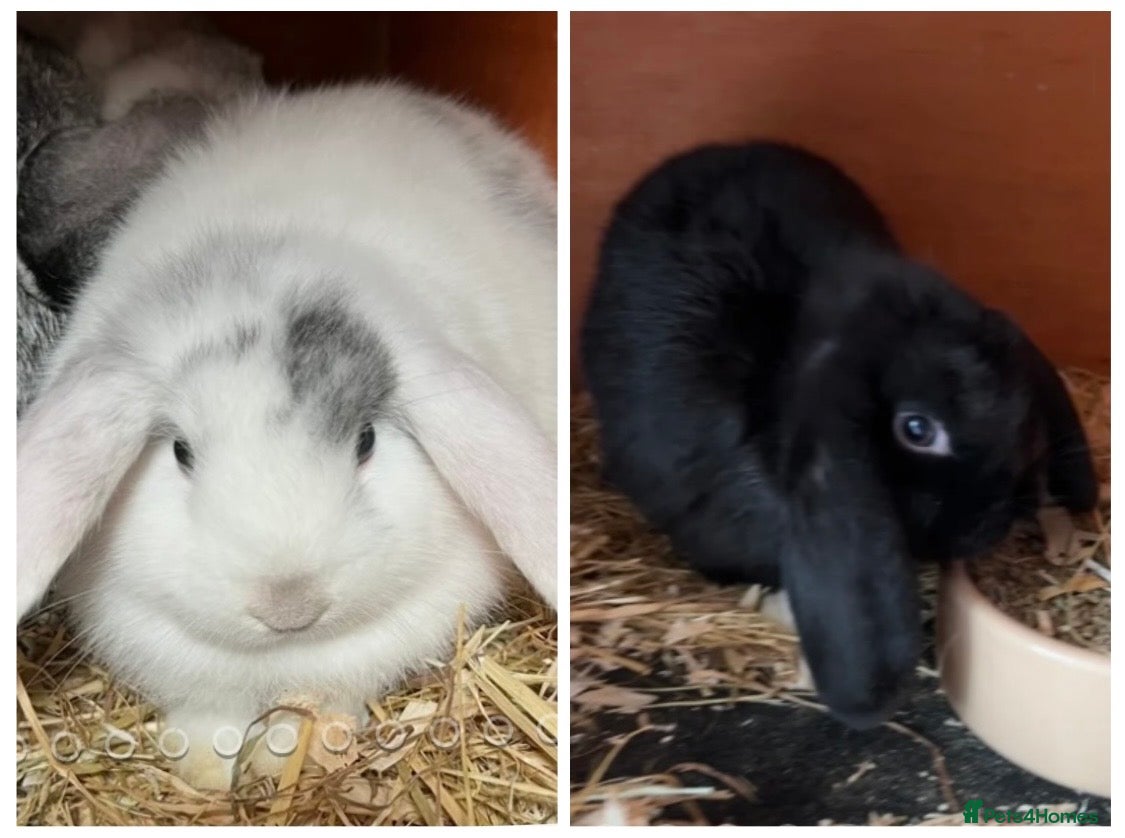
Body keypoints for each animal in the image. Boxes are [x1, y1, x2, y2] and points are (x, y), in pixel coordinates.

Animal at [17, 81, 558, 789]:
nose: (289, 604)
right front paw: (204, 771)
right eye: (181, 453)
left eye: (366, 441)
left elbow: (317, 709)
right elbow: (207, 719)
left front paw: (291, 759)